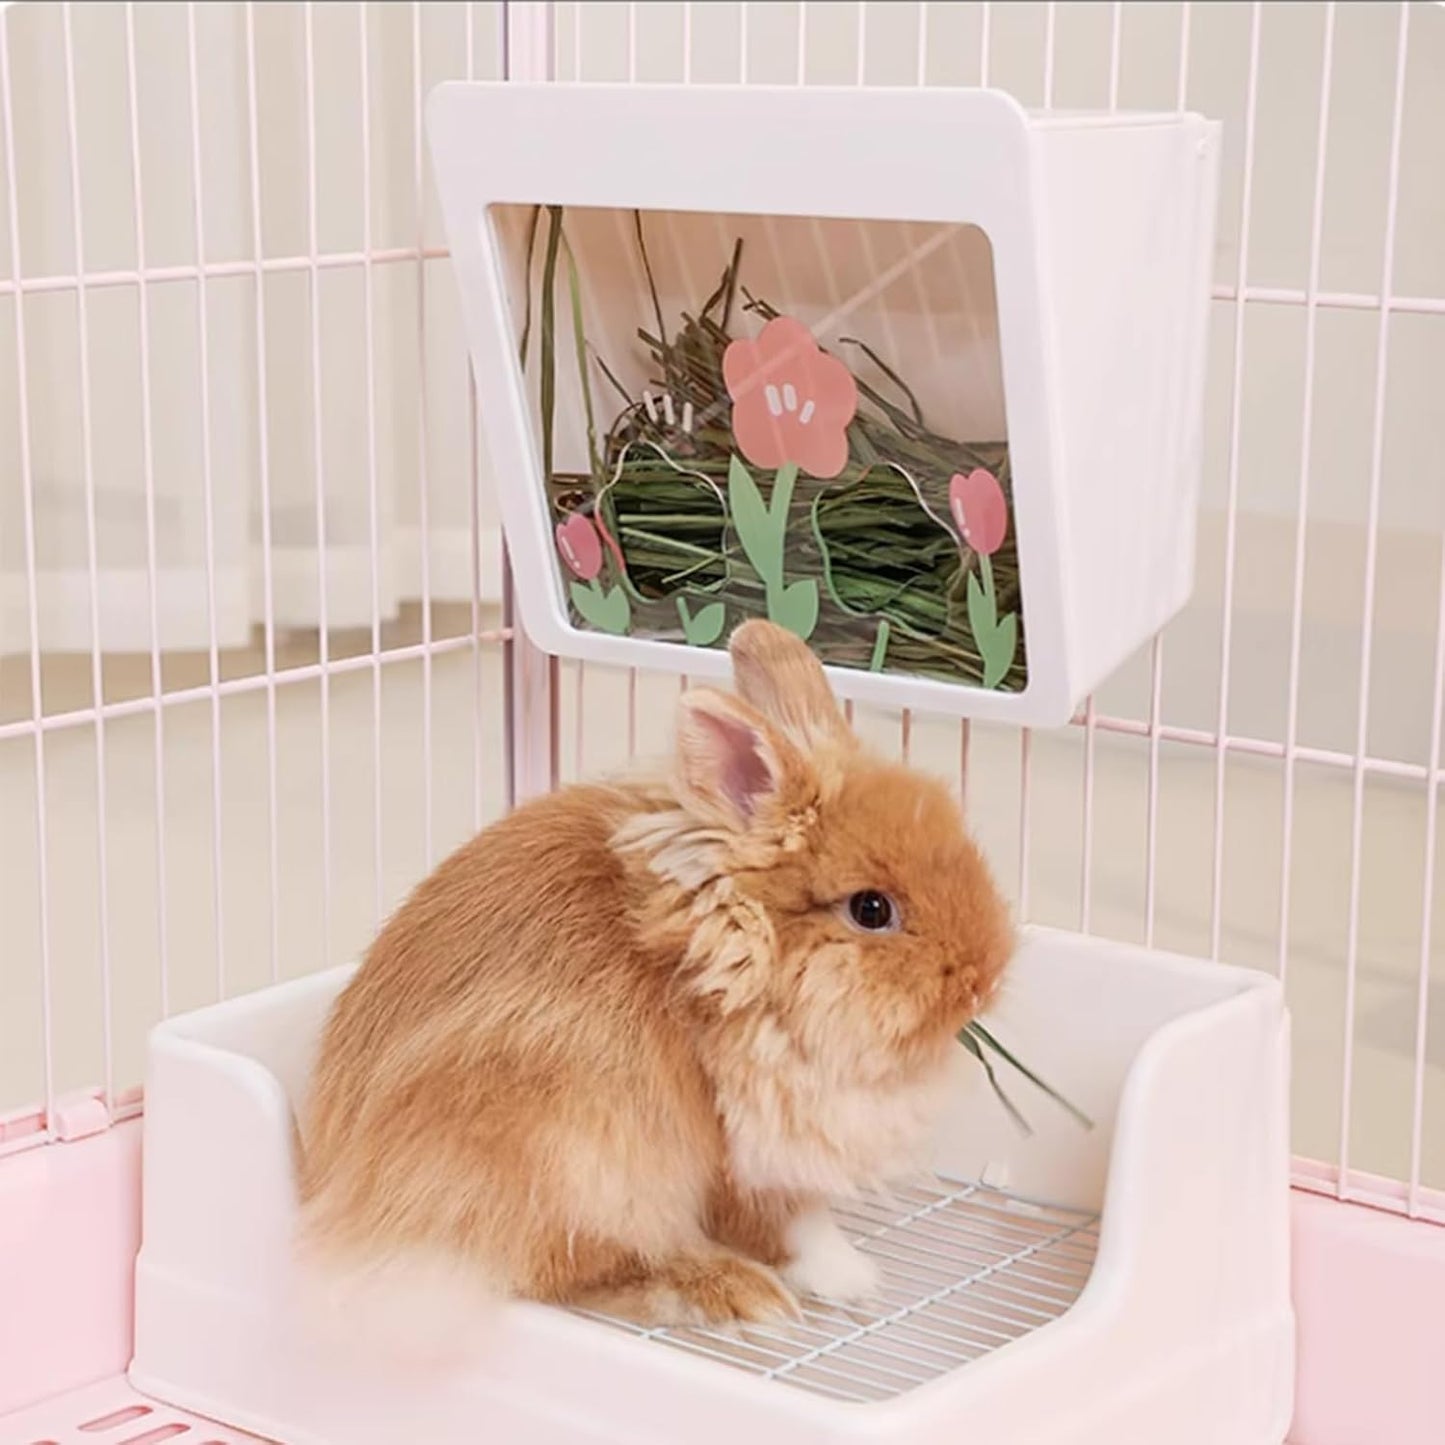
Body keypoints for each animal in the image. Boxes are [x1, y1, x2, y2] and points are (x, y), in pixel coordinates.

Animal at [295, 619, 1013, 1361]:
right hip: (570, 1147)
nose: (985, 978)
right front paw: (849, 1277)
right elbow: (795, 1228)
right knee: (567, 1268)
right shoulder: (745, 1152)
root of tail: (344, 1192)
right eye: (871, 909)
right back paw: (729, 1293)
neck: (722, 960)